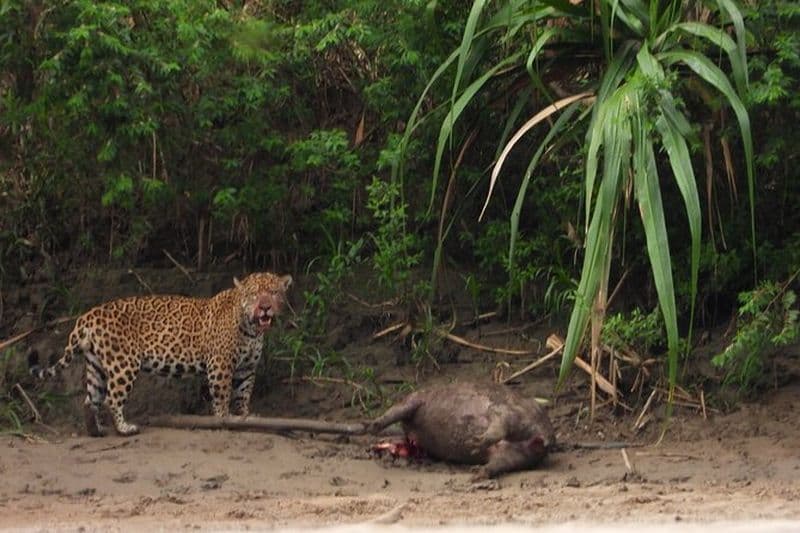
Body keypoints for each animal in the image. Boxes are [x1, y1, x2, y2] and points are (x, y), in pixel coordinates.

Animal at [29, 271, 292, 437]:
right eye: (254, 294)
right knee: (111, 398)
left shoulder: (247, 369)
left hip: (96, 365)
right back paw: (125, 429)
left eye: (274, 292)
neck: (251, 329)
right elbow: (222, 395)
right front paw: (223, 419)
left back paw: (96, 432)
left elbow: (243, 394)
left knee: (90, 400)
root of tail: (88, 315)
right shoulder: (221, 365)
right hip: (123, 364)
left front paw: (246, 416)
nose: (265, 307)